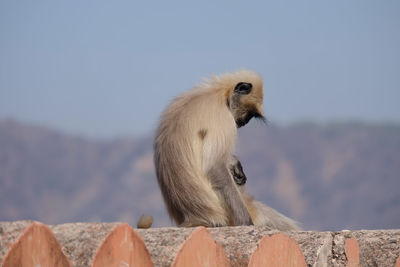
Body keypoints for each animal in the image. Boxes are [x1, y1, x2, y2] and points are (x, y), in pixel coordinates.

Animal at [153, 70, 300, 231]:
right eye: (249, 114)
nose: (244, 122)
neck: (220, 93)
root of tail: (194, 218)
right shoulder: (222, 115)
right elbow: (215, 167)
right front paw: (246, 222)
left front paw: (234, 163)